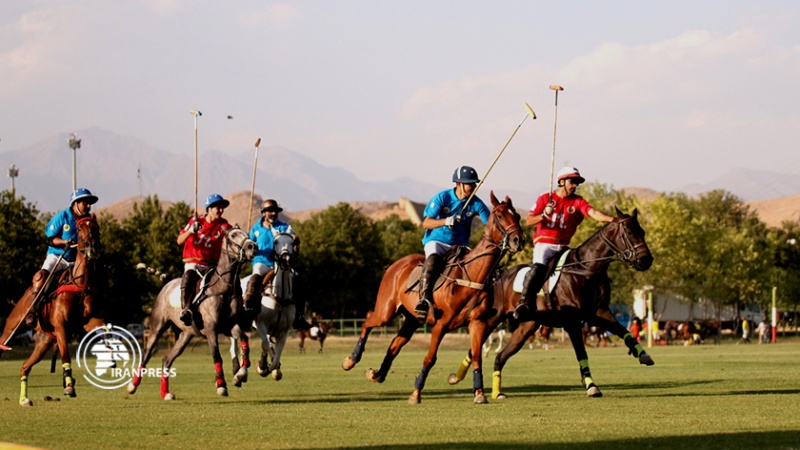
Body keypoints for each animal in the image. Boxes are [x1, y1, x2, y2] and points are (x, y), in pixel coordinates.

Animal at [0, 216, 104, 406]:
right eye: (79, 229)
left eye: (96, 227)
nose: (91, 248)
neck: (79, 282)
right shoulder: (61, 325)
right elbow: (66, 356)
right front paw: (69, 386)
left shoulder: (90, 320)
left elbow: (105, 330)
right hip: (11, 328)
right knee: (40, 275)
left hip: (44, 341)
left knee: (25, 366)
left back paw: (24, 399)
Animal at [126, 227, 255, 400]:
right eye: (233, 235)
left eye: (246, 233)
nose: (253, 246)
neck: (224, 288)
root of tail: (166, 283)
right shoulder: (211, 328)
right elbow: (216, 355)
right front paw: (221, 385)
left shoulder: (229, 326)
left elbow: (244, 338)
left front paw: (241, 374)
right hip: (158, 326)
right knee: (146, 353)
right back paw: (132, 385)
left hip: (185, 334)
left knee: (167, 359)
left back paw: (165, 393)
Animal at [231, 230, 300, 382]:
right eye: (275, 242)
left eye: (292, 242)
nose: (285, 260)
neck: (279, 297)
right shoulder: (261, 325)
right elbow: (265, 345)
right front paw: (262, 367)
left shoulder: (284, 330)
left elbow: (276, 354)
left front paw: (272, 369)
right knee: (234, 342)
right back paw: (238, 370)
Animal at [340, 191, 520, 404]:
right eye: (500, 215)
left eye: (517, 216)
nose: (518, 240)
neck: (471, 275)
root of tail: (394, 265)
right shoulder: (440, 325)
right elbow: (430, 358)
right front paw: (416, 393)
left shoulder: (477, 322)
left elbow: (476, 355)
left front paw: (479, 393)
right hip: (386, 310)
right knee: (368, 320)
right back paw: (350, 360)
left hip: (412, 319)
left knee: (395, 344)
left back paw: (377, 374)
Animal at [446, 207, 652, 398]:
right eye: (629, 232)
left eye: (642, 231)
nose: (647, 260)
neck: (586, 268)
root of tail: (497, 276)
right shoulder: (573, 321)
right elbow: (581, 353)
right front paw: (591, 386)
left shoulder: (598, 313)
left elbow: (623, 331)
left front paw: (643, 354)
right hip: (492, 319)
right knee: (476, 347)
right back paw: (457, 377)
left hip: (527, 326)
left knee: (499, 357)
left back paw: (496, 392)